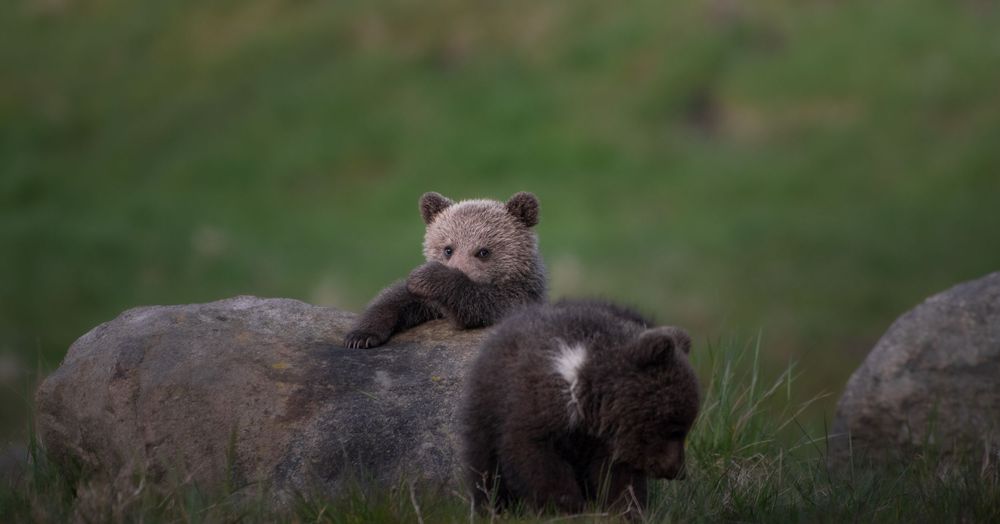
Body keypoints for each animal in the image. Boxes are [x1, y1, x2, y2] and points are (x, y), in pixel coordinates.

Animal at [344, 191, 547, 349]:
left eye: (483, 251)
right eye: (448, 249)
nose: (460, 269)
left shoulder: (521, 295)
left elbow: (485, 304)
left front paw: (430, 277)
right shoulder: (429, 304)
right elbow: (394, 299)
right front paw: (360, 336)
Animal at [459, 299, 700, 516]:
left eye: (684, 427)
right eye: (674, 429)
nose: (679, 471)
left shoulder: (608, 439)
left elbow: (616, 477)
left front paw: (627, 508)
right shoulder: (537, 410)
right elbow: (538, 460)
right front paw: (566, 507)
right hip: (488, 410)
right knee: (486, 465)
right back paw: (492, 506)